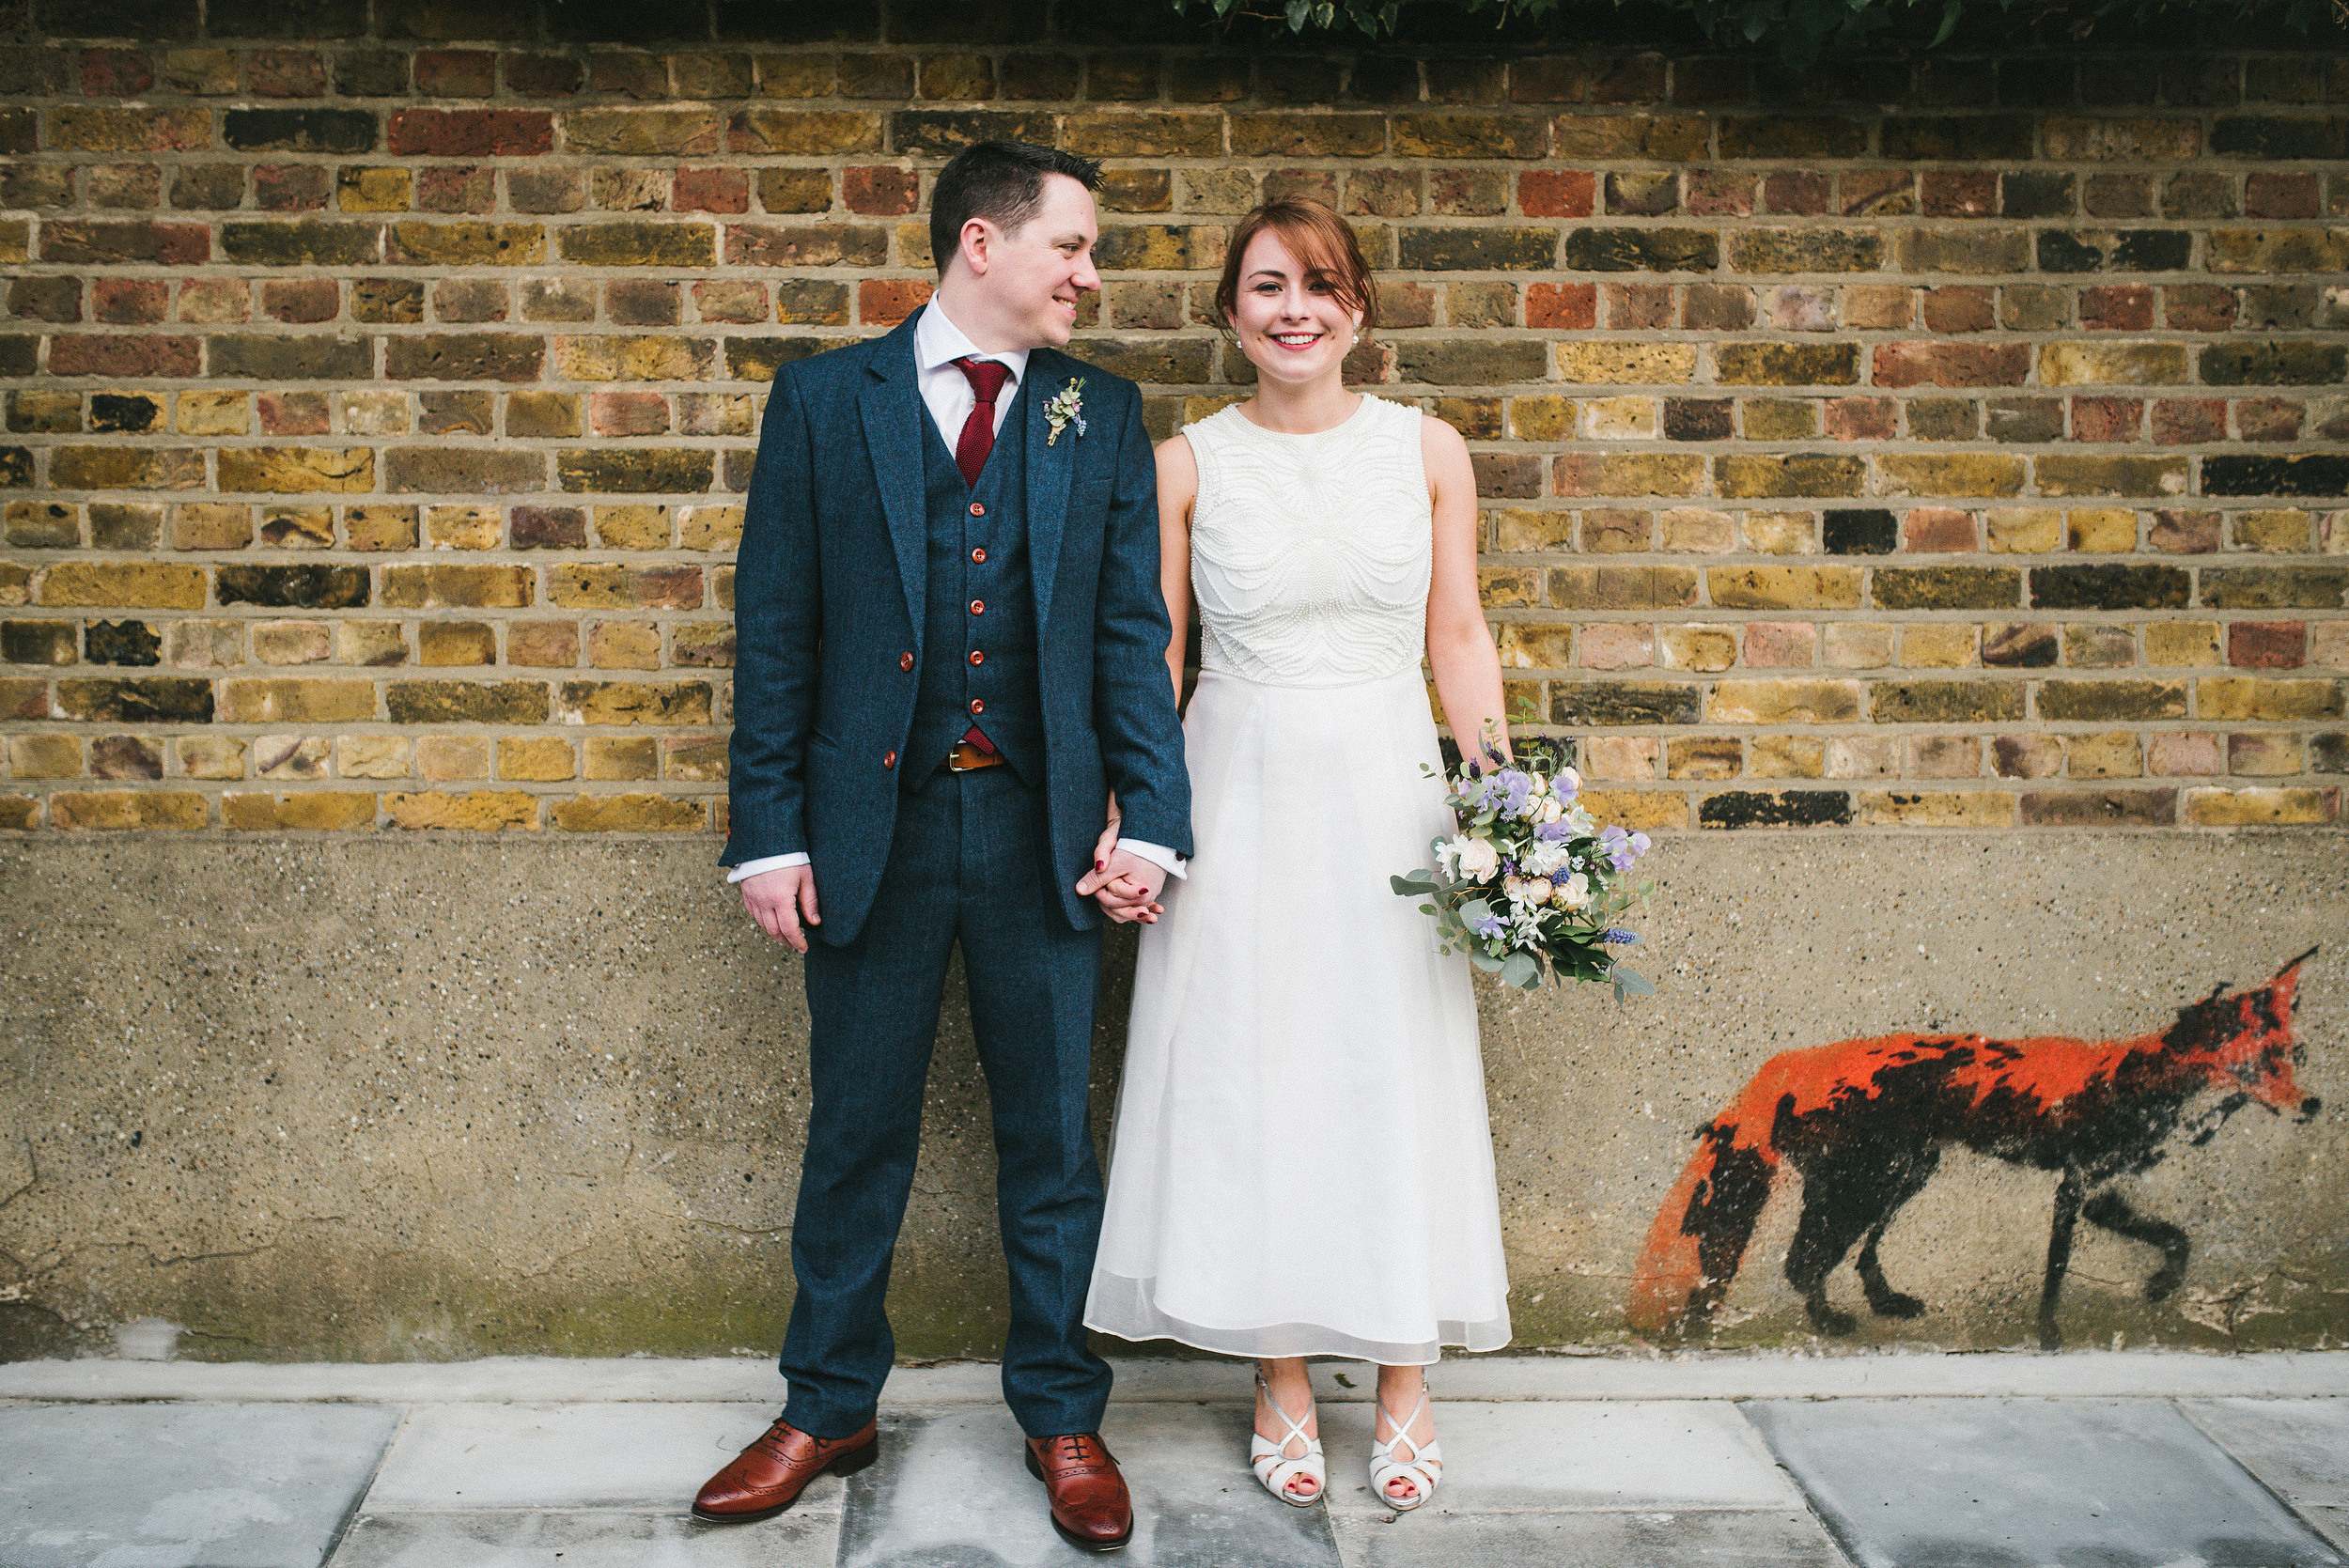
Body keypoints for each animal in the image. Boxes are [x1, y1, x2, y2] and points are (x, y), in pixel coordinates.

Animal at [1626, 943, 2321, 1352]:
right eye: (2263, 1063)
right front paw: (2048, 1334)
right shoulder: (2074, 1188)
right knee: (1803, 1261)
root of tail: (1797, 1061)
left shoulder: (2100, 1192)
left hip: (1906, 1172)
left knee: (1854, 1254)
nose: (2313, 1106)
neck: (2141, 1081)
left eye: (2295, 1055)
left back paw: (1883, 1301)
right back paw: (1828, 1323)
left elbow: (2175, 1237)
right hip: (1865, 1183)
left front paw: (2159, 1286)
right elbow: (2055, 1273)